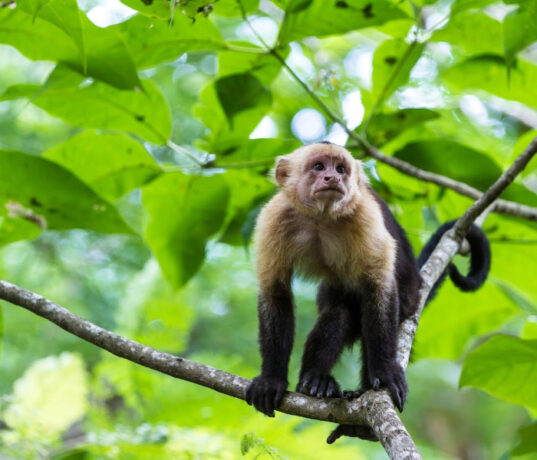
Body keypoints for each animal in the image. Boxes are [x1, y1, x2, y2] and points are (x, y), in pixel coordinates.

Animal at [245, 141, 488, 432]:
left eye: (341, 169)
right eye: (319, 166)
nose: (333, 178)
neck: (321, 217)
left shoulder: (364, 215)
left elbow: (379, 288)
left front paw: (384, 373)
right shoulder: (274, 217)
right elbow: (275, 291)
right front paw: (271, 379)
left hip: (408, 298)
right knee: (338, 311)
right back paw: (316, 381)